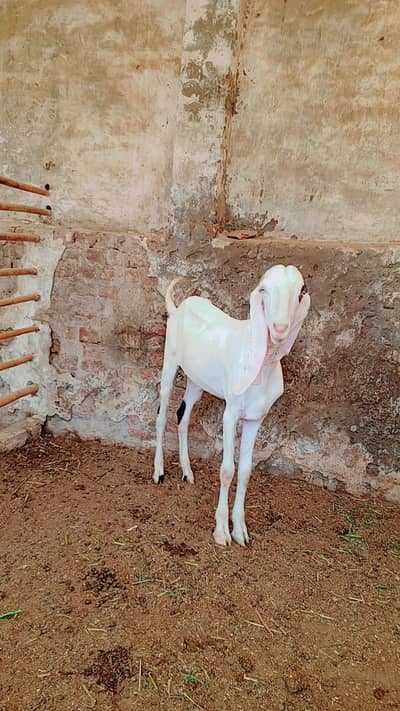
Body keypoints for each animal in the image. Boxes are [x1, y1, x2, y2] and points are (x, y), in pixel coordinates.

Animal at [153, 265, 311, 546]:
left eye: (301, 290)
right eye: (263, 289)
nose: (280, 328)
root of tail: (178, 308)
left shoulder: (255, 419)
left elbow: (246, 471)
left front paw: (240, 530)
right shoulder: (231, 413)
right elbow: (227, 469)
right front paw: (221, 532)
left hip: (196, 380)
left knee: (183, 415)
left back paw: (187, 472)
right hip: (170, 361)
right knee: (162, 415)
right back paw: (159, 472)